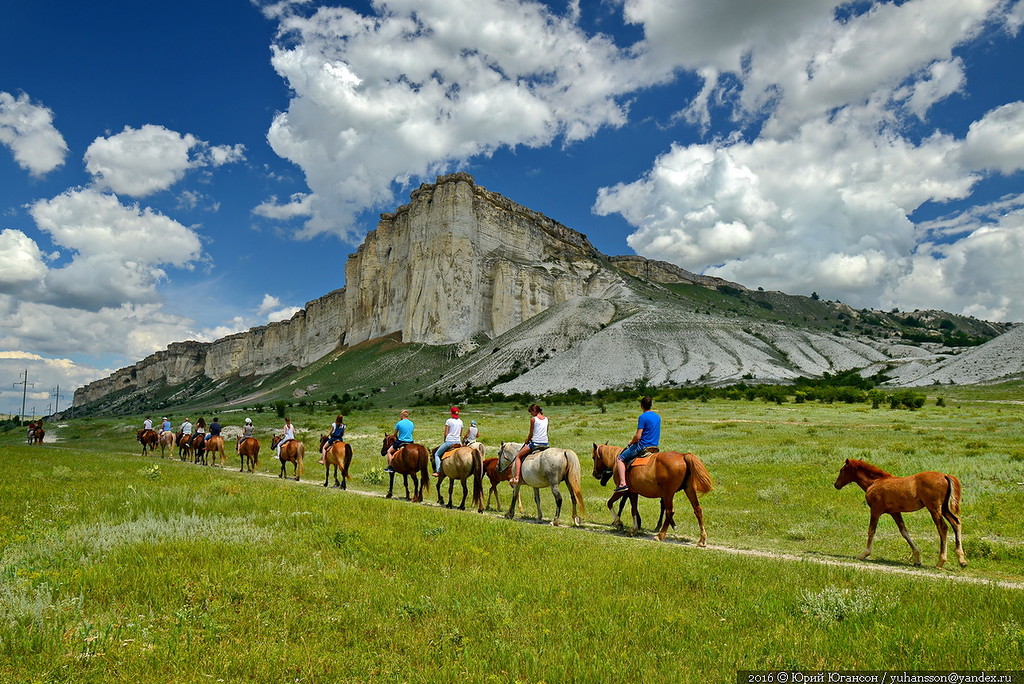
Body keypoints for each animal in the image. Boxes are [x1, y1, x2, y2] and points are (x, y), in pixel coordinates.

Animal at [831, 456, 966, 569]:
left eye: (842, 470)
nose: (836, 484)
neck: (875, 482)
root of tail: (944, 475)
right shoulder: (895, 512)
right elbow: (904, 532)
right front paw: (917, 558)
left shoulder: (875, 510)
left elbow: (871, 530)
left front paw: (864, 554)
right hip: (944, 508)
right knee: (956, 522)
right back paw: (962, 560)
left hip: (934, 508)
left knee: (942, 527)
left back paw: (941, 561)